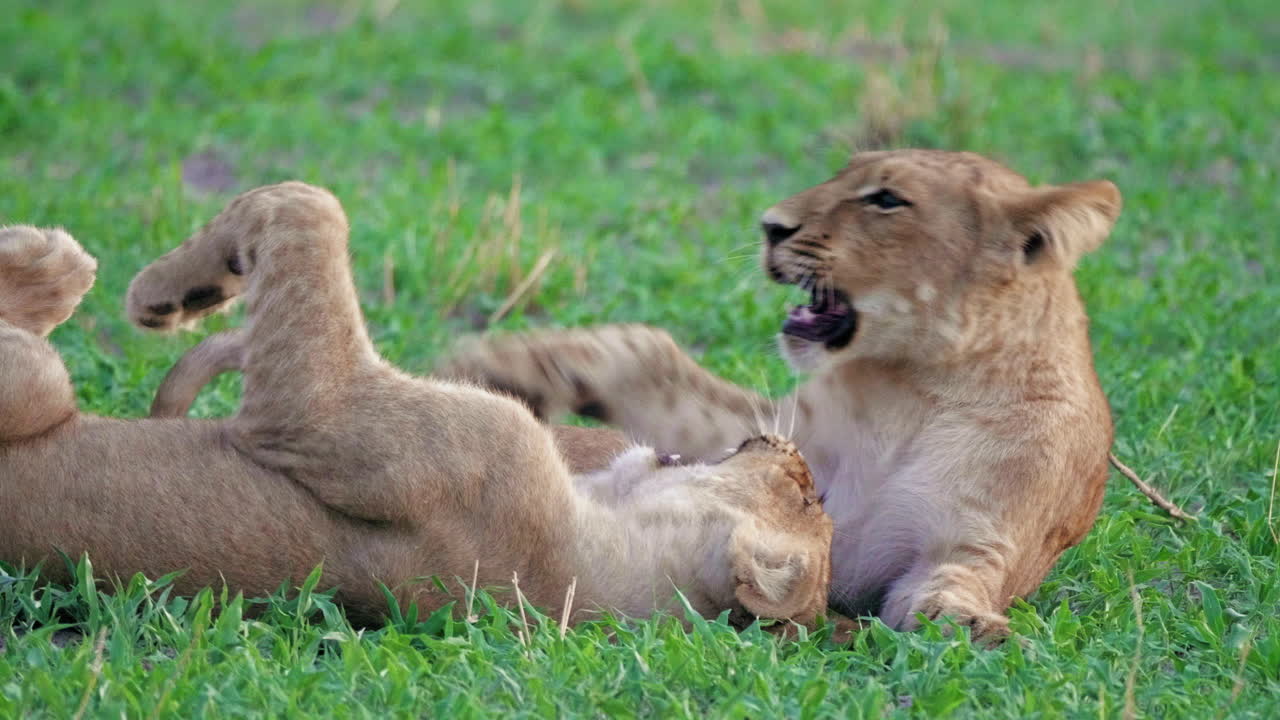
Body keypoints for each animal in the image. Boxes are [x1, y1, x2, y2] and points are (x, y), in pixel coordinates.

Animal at [0, 182, 835, 630]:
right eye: (808, 496)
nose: (801, 457)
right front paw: (203, 339)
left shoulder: (320, 407)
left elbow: (309, 208)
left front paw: (162, 295)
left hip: (38, 382)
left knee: (32, 349)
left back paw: (53, 259)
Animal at [433, 149, 1122, 643]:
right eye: (842, 174)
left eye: (886, 199)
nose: (771, 226)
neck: (918, 387)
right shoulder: (767, 433)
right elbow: (651, 360)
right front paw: (504, 363)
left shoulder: (980, 537)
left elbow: (957, 578)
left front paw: (967, 623)